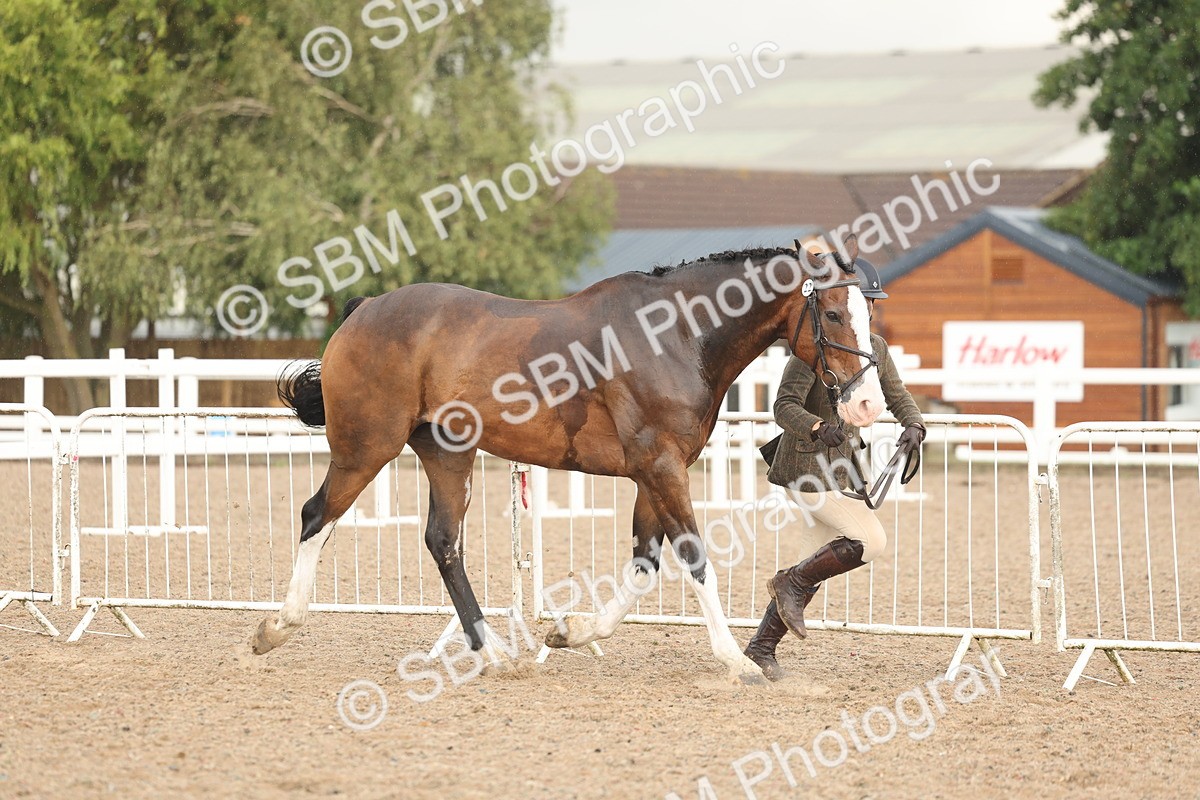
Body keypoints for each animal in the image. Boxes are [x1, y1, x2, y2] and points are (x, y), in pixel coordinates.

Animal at [252, 234, 885, 682]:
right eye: (832, 315)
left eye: (868, 314)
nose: (868, 406)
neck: (678, 336)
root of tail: (363, 310)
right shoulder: (661, 468)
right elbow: (695, 557)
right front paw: (736, 660)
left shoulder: (654, 473)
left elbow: (644, 568)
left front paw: (570, 633)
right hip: (367, 447)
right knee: (317, 516)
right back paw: (276, 628)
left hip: (447, 453)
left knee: (443, 542)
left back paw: (494, 653)